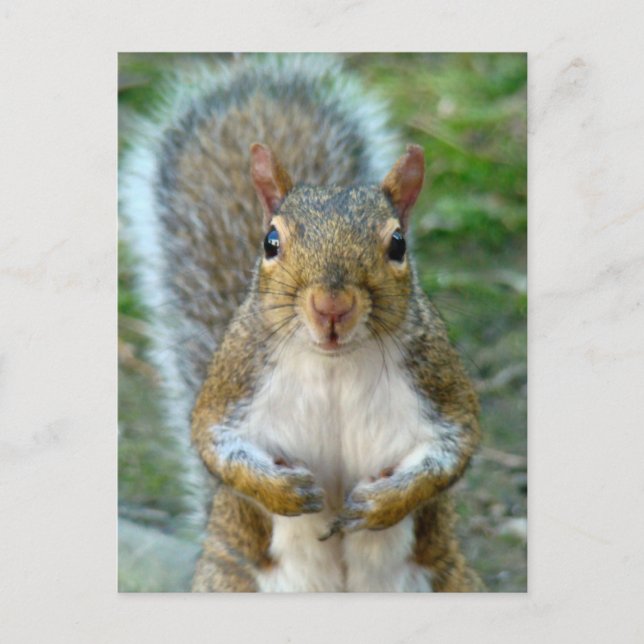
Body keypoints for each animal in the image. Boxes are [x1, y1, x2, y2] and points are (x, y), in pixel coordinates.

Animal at [121, 54, 484, 592]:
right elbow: (211, 441)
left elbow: (455, 448)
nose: (331, 305)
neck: (333, 363)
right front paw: (285, 493)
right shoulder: (235, 378)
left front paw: (380, 503)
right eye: (270, 241)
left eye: (398, 244)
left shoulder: (437, 381)